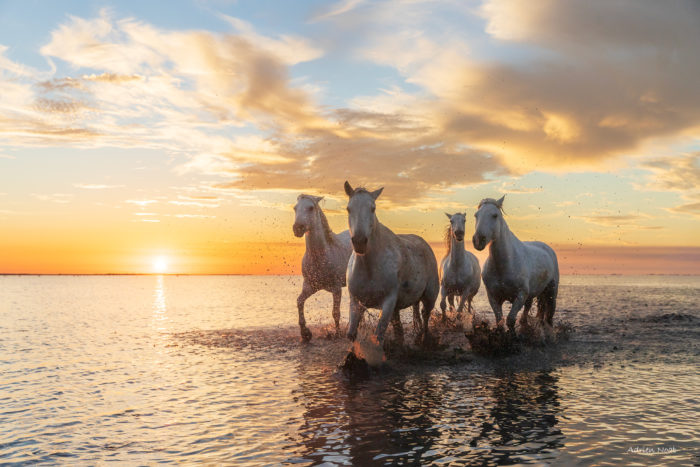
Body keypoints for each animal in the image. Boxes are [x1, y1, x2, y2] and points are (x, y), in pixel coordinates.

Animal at [293, 194, 353, 341]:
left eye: (311, 207)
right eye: (295, 208)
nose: (297, 228)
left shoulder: (336, 289)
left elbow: (336, 312)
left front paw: (337, 334)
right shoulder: (310, 286)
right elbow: (299, 302)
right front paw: (305, 334)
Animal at [343, 181, 439, 349]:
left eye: (373, 208)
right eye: (349, 208)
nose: (360, 242)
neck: (369, 267)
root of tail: (424, 244)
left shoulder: (388, 302)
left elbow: (379, 334)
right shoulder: (356, 302)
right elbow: (352, 334)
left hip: (429, 297)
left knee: (425, 318)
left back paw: (423, 340)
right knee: (401, 326)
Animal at [472, 196, 559, 333]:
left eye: (495, 215)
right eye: (476, 215)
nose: (478, 240)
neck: (505, 265)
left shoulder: (520, 296)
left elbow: (510, 320)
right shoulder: (493, 297)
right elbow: (500, 321)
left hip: (551, 292)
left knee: (549, 315)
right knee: (528, 309)